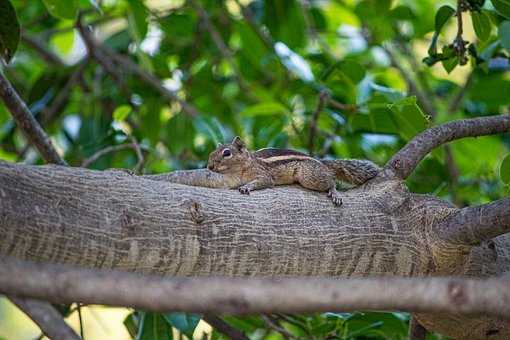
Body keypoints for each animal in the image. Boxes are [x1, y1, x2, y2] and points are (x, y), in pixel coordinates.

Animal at [205, 137, 380, 206]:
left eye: (227, 153)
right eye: (213, 151)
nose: (209, 167)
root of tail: (321, 163)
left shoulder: (263, 174)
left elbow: (263, 181)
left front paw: (247, 187)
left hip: (309, 176)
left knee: (331, 181)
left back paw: (334, 193)